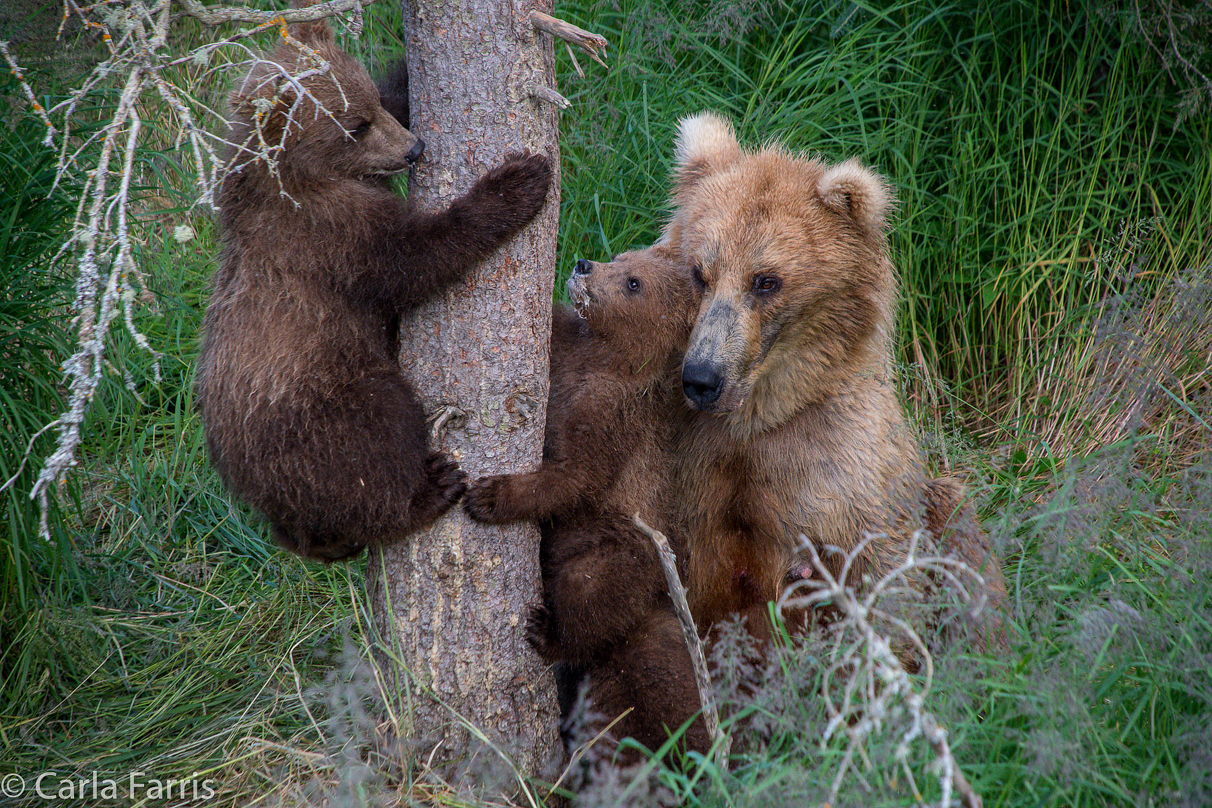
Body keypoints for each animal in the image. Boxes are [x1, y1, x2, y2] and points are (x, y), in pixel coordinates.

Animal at [195, 17, 555, 562]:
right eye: (354, 127)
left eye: (370, 106)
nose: (414, 149)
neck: (296, 176)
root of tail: (254, 492)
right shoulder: (327, 235)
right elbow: (416, 258)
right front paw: (517, 181)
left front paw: (405, 68)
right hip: (325, 409)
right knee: (379, 443)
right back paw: (430, 489)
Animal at [462, 248, 707, 760]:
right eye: (622, 256)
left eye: (633, 282)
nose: (584, 265)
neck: (601, 361)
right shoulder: (567, 354)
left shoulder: (610, 414)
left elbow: (574, 478)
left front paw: (491, 494)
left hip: (624, 551)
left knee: (591, 594)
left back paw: (547, 632)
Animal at [664, 112, 1003, 644]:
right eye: (701, 272)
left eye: (766, 280)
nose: (702, 377)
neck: (759, 415)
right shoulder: (692, 471)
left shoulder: (843, 468)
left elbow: (884, 577)